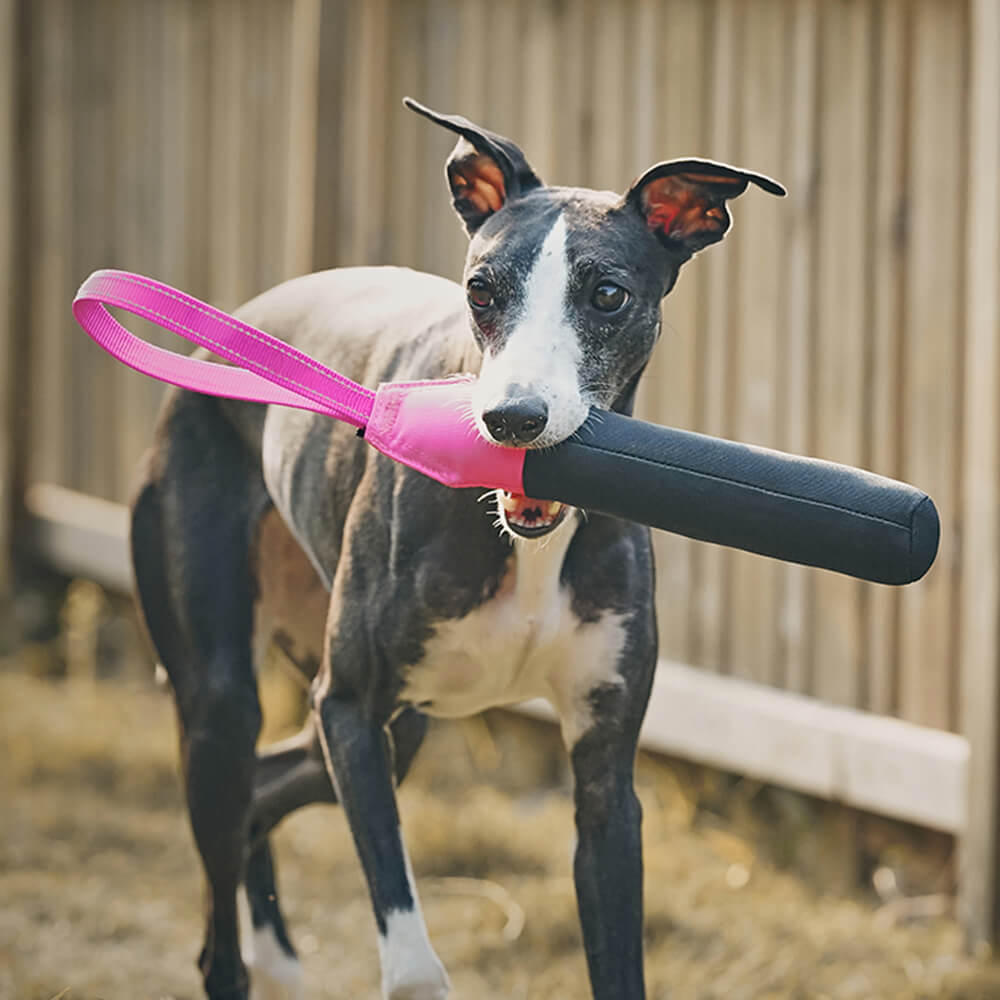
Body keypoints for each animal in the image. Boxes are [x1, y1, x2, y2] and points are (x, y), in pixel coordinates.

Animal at [133, 99, 784, 1000]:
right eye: (480, 290)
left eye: (608, 294)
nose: (511, 419)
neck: (530, 541)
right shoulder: (349, 707)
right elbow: (412, 965)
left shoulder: (605, 780)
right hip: (232, 693)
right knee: (225, 851)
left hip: (389, 724)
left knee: (262, 795)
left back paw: (278, 948)